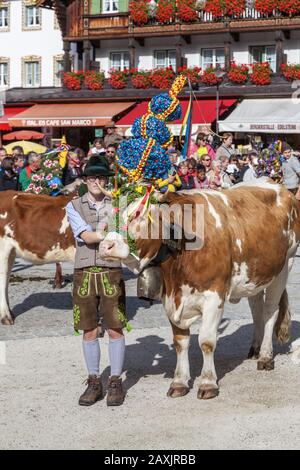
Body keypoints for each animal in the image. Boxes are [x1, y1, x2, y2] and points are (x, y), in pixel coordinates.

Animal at [0, 189, 75, 324]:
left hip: (12, 252)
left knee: (7, 277)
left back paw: (10, 313)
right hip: (3, 247)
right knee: (2, 279)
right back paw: (6, 317)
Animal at [99, 180, 300, 400]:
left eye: (138, 215)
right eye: (108, 215)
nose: (105, 246)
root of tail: (277, 185)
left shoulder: (214, 296)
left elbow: (206, 341)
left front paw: (207, 383)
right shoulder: (170, 298)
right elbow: (180, 342)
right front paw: (179, 382)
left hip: (285, 265)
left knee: (270, 311)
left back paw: (265, 356)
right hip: (254, 276)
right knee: (256, 309)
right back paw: (255, 348)